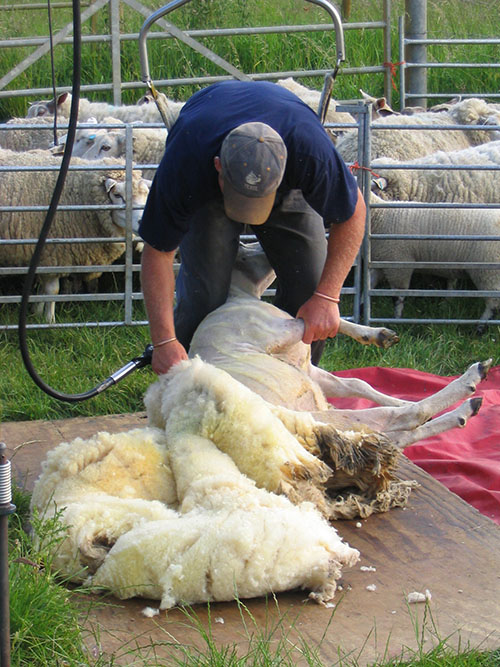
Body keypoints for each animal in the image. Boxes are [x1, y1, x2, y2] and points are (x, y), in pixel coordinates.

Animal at [0, 147, 150, 324]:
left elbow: (42, 289)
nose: (144, 223)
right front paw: (49, 321)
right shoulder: (53, 253)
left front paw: (36, 313)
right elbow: (52, 290)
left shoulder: (45, 257)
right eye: (118, 195)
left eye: (146, 194)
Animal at [32, 243, 492, 608]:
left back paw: (460, 403)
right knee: (398, 423)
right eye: (246, 248)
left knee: (391, 435)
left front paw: (378, 343)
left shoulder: (312, 371)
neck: (241, 296)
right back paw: (467, 390)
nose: (269, 247)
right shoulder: (280, 334)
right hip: (310, 422)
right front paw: (374, 338)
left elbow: (357, 380)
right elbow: (310, 318)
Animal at [370, 192, 500, 330]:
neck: (380, 216)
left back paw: (481, 328)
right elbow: (369, 286)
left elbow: (397, 298)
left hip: (487, 271)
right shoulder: (380, 263)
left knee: (494, 302)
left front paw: (396, 321)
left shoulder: (398, 265)